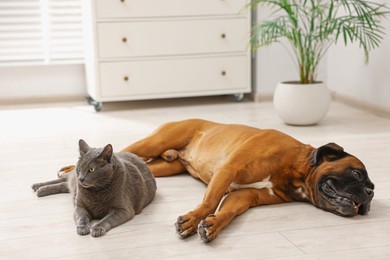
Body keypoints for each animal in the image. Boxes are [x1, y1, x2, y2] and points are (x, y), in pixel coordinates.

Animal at [58, 119, 374, 242]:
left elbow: (227, 210)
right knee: (119, 151)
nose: (370, 192)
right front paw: (191, 219)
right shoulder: (229, 170)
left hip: (164, 167)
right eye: (357, 173)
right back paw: (68, 171)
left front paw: (211, 225)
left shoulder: (244, 195)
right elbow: (210, 201)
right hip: (153, 142)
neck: (296, 166)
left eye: (370, 184)